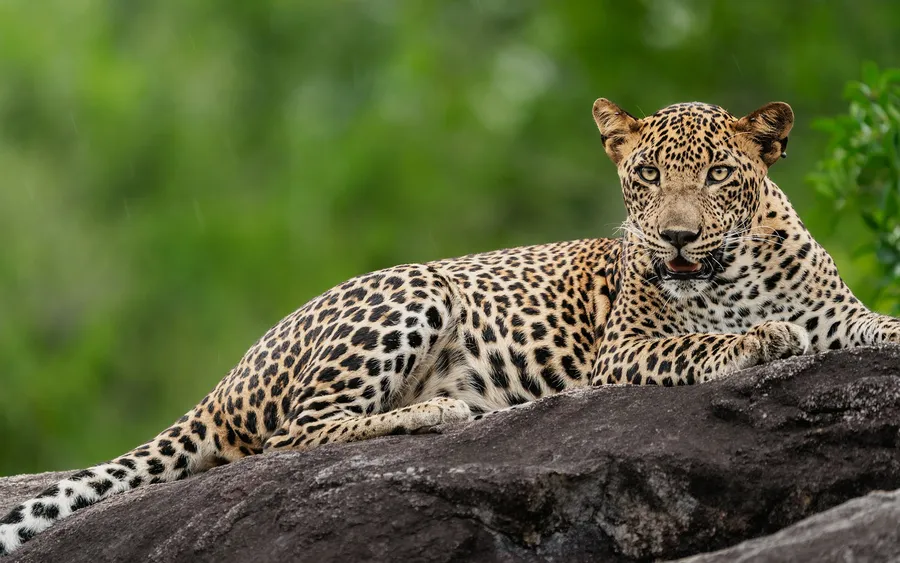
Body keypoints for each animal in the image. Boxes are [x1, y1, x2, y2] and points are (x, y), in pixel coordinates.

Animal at [3, 98, 899, 556]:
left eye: (716, 175)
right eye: (645, 174)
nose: (675, 237)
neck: (732, 269)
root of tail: (228, 377)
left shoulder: (844, 316)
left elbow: (878, 324)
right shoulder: (621, 351)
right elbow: (698, 341)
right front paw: (757, 339)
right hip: (415, 291)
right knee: (294, 432)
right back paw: (438, 410)